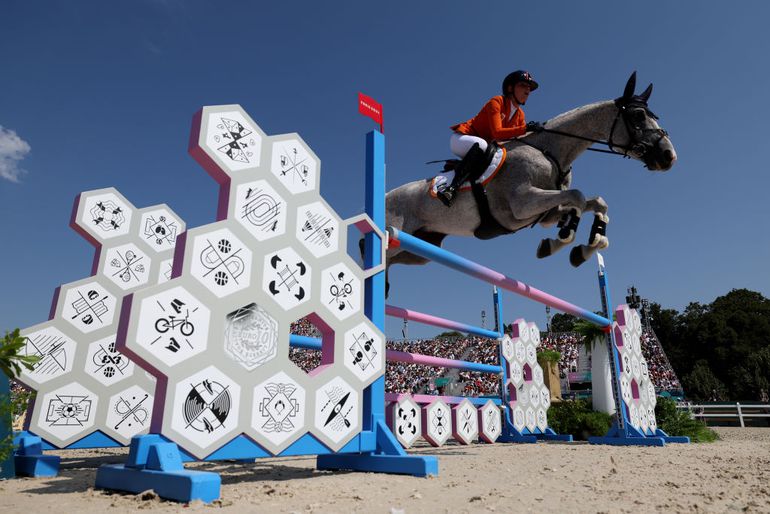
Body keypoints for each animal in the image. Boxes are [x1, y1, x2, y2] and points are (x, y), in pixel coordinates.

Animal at [384, 72, 672, 286]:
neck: (551, 152)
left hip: (417, 250)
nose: (669, 155)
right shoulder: (521, 204)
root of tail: (385, 196)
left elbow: (596, 202)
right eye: (637, 116)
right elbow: (578, 197)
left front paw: (586, 246)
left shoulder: (545, 212)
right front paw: (563, 239)